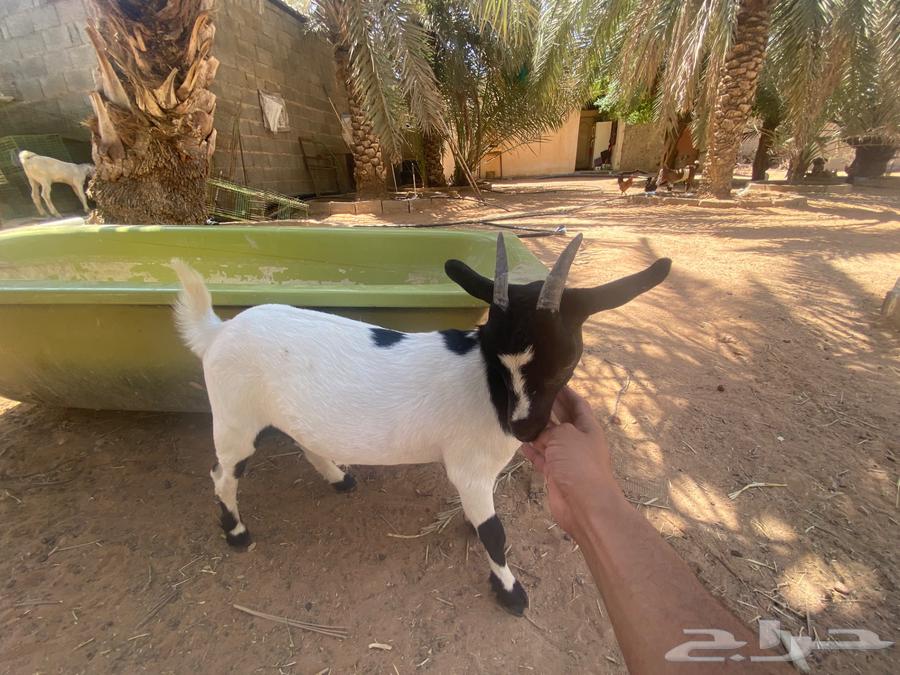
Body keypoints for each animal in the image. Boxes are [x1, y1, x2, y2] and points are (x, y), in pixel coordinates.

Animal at [171, 236, 671, 615]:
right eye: (492, 352)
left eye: (564, 364)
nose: (524, 430)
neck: (487, 388)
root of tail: (216, 332)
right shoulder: (470, 466)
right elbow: (496, 533)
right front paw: (510, 593)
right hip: (235, 417)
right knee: (223, 474)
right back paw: (236, 533)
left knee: (306, 443)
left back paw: (338, 477)